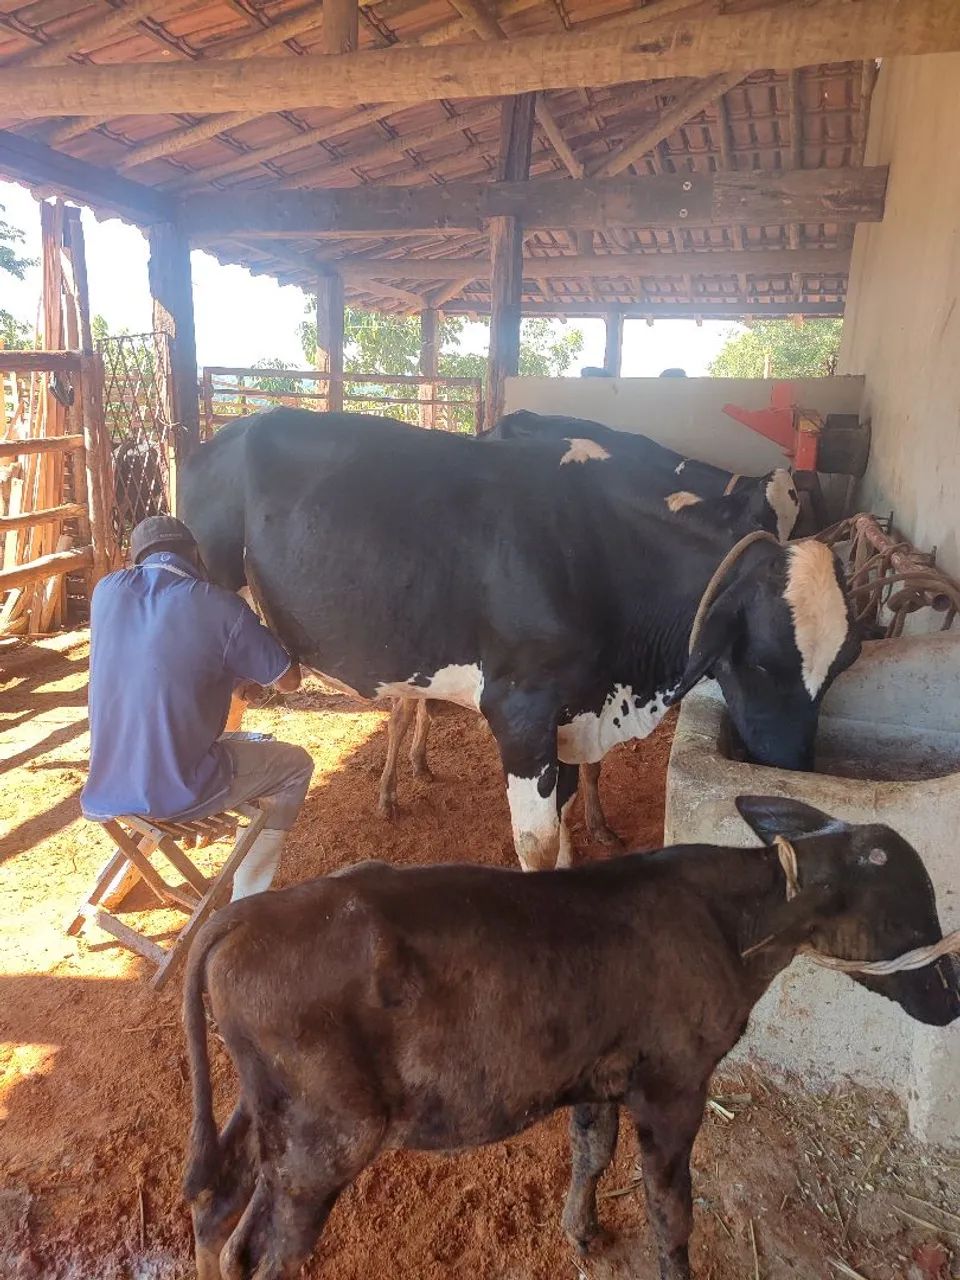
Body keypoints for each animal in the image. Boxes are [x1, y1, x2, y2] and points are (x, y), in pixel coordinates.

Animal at [178, 408, 859, 871]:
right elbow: (537, 840)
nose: (791, 768)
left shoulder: (571, 709)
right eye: (763, 661)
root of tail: (226, 432)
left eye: (842, 663)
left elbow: (564, 812)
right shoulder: (520, 711)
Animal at [182, 796, 960, 1280]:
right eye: (908, 912)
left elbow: (591, 1153)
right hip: (327, 1138)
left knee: (215, 1205)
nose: (949, 999)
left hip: (270, 1113)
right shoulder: (674, 1085)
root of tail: (249, 913)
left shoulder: (597, 1071)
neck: (725, 923)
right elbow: (670, 1209)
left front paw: (580, 1231)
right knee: (258, 1252)